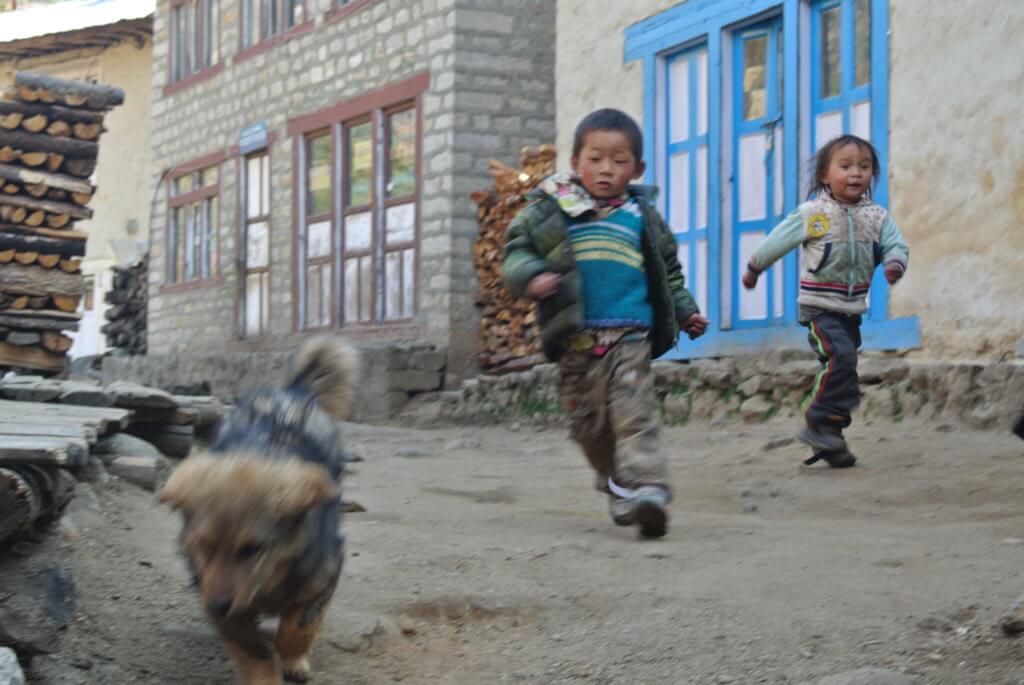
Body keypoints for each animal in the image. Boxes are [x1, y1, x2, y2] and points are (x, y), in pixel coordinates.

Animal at [155, 337, 356, 683]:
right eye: (204, 547)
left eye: (252, 549)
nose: (218, 604)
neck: (269, 581)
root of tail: (290, 391)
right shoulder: (213, 593)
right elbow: (251, 648)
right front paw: (264, 671)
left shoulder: (325, 573)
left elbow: (298, 626)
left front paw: (292, 657)